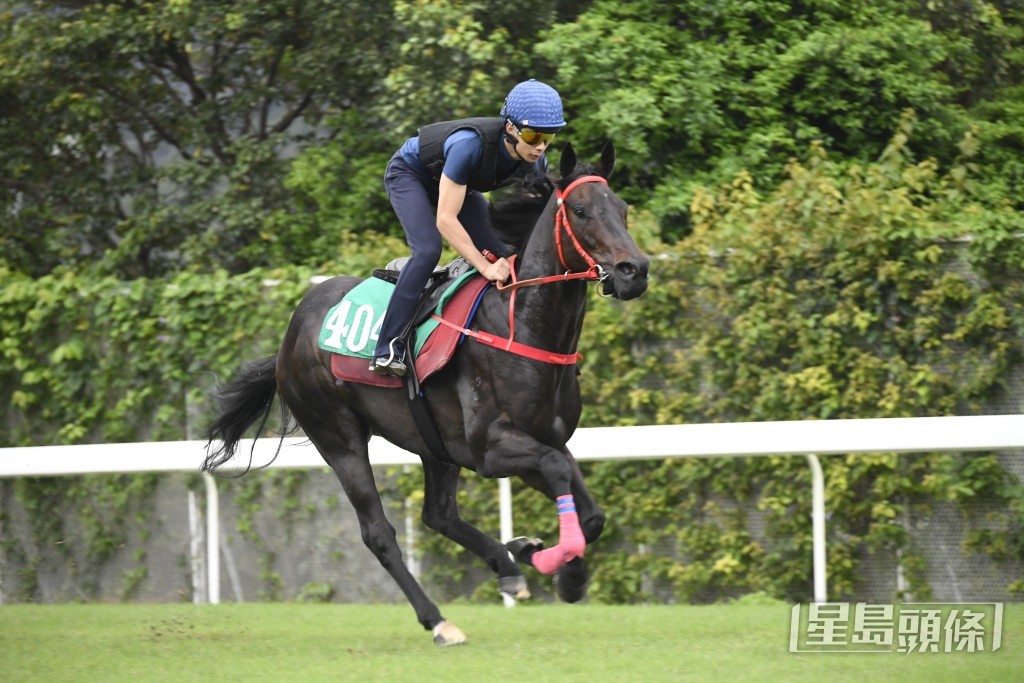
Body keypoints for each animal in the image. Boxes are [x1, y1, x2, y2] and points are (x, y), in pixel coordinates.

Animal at [201, 141, 647, 643]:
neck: (521, 324)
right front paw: (557, 563)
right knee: (378, 533)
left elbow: (586, 506)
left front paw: (542, 558)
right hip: (338, 439)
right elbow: (555, 470)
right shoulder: (491, 448)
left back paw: (508, 564)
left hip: (433, 441)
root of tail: (288, 337)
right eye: (581, 211)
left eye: (623, 209)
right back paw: (439, 620)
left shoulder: (543, 438)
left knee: (439, 514)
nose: (635, 270)